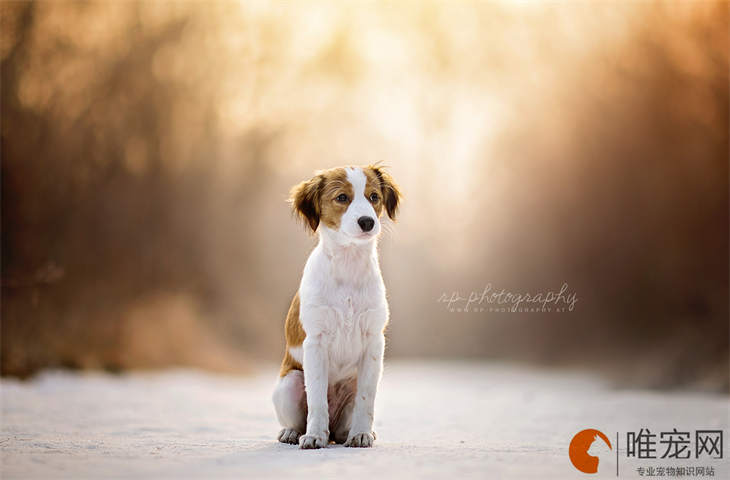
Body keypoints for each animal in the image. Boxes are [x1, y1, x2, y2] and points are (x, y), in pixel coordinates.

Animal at [272, 166, 398, 450]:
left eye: (374, 197)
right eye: (342, 197)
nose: (367, 222)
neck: (348, 264)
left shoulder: (374, 341)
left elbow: (366, 400)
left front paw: (361, 434)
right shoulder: (315, 342)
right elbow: (317, 399)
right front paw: (314, 436)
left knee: (341, 430)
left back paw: (353, 433)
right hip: (289, 383)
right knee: (297, 419)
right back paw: (293, 433)